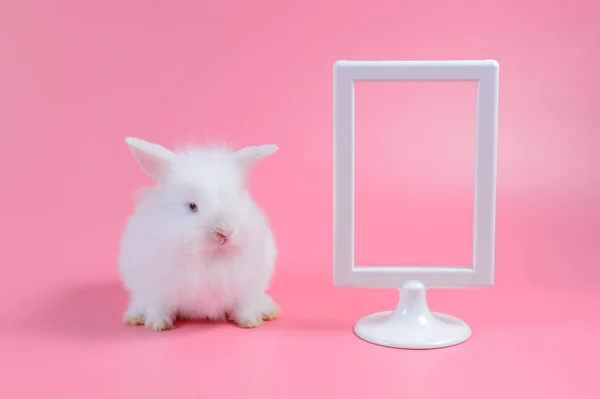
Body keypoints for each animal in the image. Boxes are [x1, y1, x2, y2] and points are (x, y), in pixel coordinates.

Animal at [118, 138, 280, 332]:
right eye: (192, 206)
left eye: (236, 199)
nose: (224, 232)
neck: (211, 257)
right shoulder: (159, 290)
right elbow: (160, 307)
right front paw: (158, 325)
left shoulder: (245, 288)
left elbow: (243, 307)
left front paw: (250, 322)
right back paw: (135, 317)